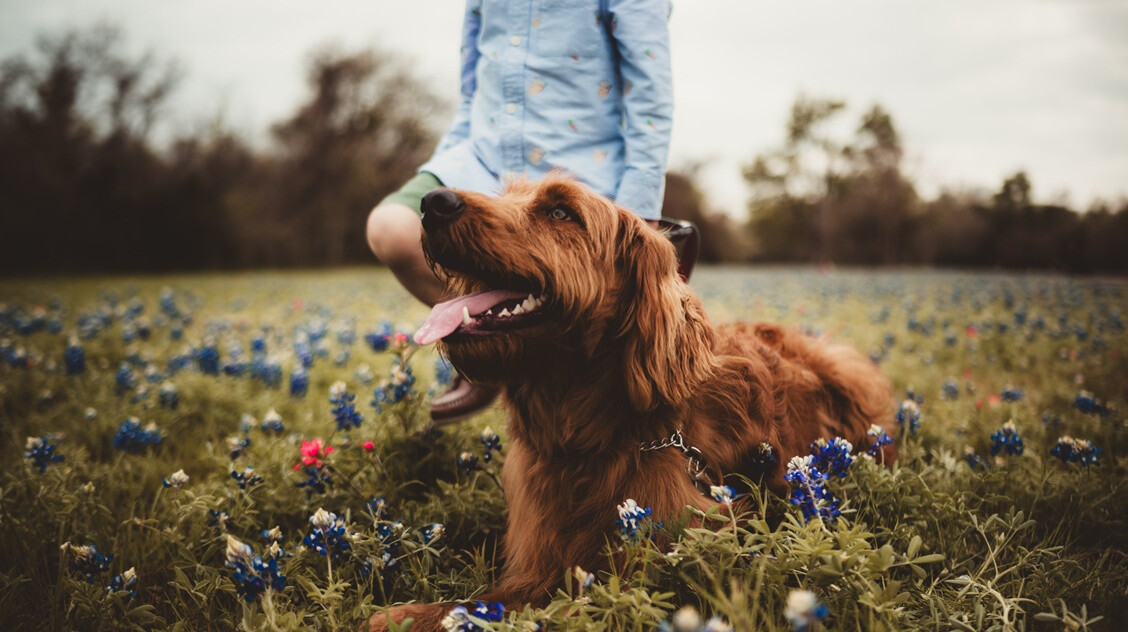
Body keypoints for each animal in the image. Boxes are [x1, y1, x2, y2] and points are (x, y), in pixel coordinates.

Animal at [369, 173, 897, 632]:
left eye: (561, 211)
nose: (434, 202)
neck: (585, 432)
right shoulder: (537, 559)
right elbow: (465, 607)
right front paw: (398, 615)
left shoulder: (654, 563)